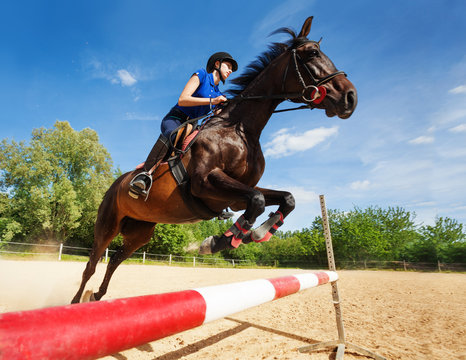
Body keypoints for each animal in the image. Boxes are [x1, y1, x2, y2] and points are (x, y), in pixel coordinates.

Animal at [72, 16, 356, 304]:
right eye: (312, 53)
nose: (350, 97)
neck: (240, 129)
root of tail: (115, 183)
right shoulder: (205, 183)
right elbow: (258, 200)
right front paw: (219, 241)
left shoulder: (236, 194)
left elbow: (284, 199)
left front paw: (255, 233)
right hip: (107, 225)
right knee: (92, 264)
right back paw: (76, 301)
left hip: (140, 231)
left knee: (114, 260)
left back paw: (97, 296)